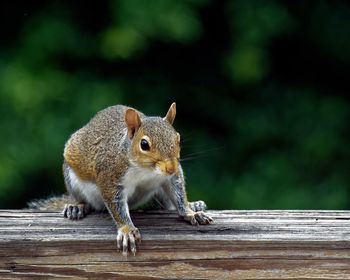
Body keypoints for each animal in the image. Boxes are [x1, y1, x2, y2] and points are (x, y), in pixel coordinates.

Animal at [49, 102, 213, 254]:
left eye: (178, 139)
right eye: (144, 144)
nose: (171, 168)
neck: (146, 170)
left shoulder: (170, 178)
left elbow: (178, 194)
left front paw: (190, 212)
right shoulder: (110, 176)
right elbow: (116, 205)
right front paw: (127, 230)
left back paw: (195, 205)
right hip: (72, 179)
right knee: (80, 198)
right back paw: (76, 206)